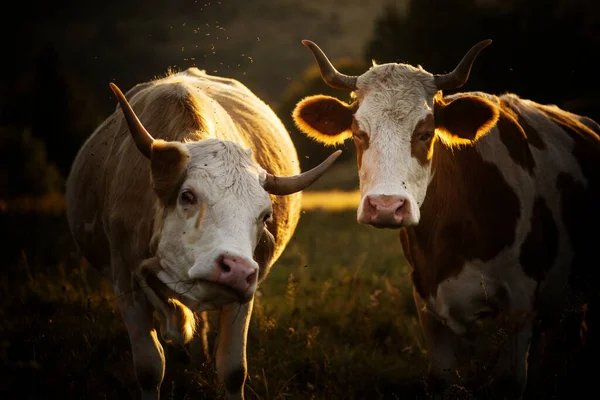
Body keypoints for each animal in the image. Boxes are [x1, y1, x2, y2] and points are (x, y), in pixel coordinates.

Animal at [66, 67, 342, 398]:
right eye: (187, 196)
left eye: (265, 215)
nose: (237, 270)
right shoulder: (124, 278)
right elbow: (149, 368)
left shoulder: (243, 294)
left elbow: (234, 370)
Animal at [292, 39, 600, 396]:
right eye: (357, 133)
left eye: (426, 133)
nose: (386, 206)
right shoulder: (428, 306)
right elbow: (441, 378)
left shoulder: (520, 307)